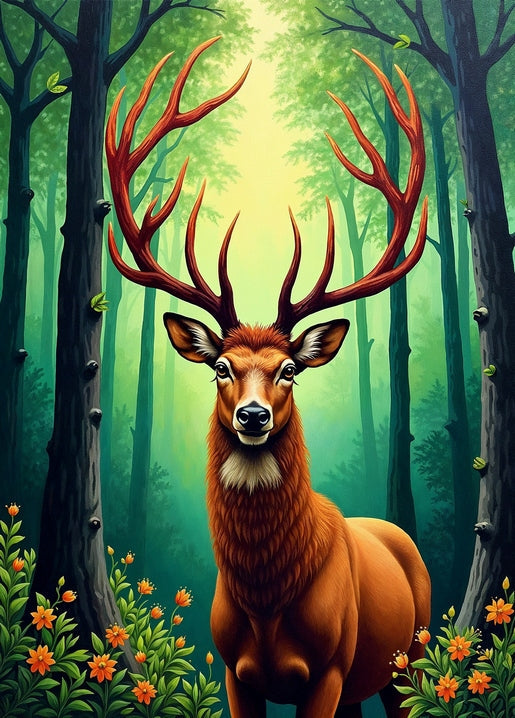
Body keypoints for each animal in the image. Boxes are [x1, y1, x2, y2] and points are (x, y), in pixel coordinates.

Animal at [106, 37, 430, 718]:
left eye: (290, 370)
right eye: (219, 367)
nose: (251, 416)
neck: (266, 605)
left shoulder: (329, 669)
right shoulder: (235, 672)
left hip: (405, 657)